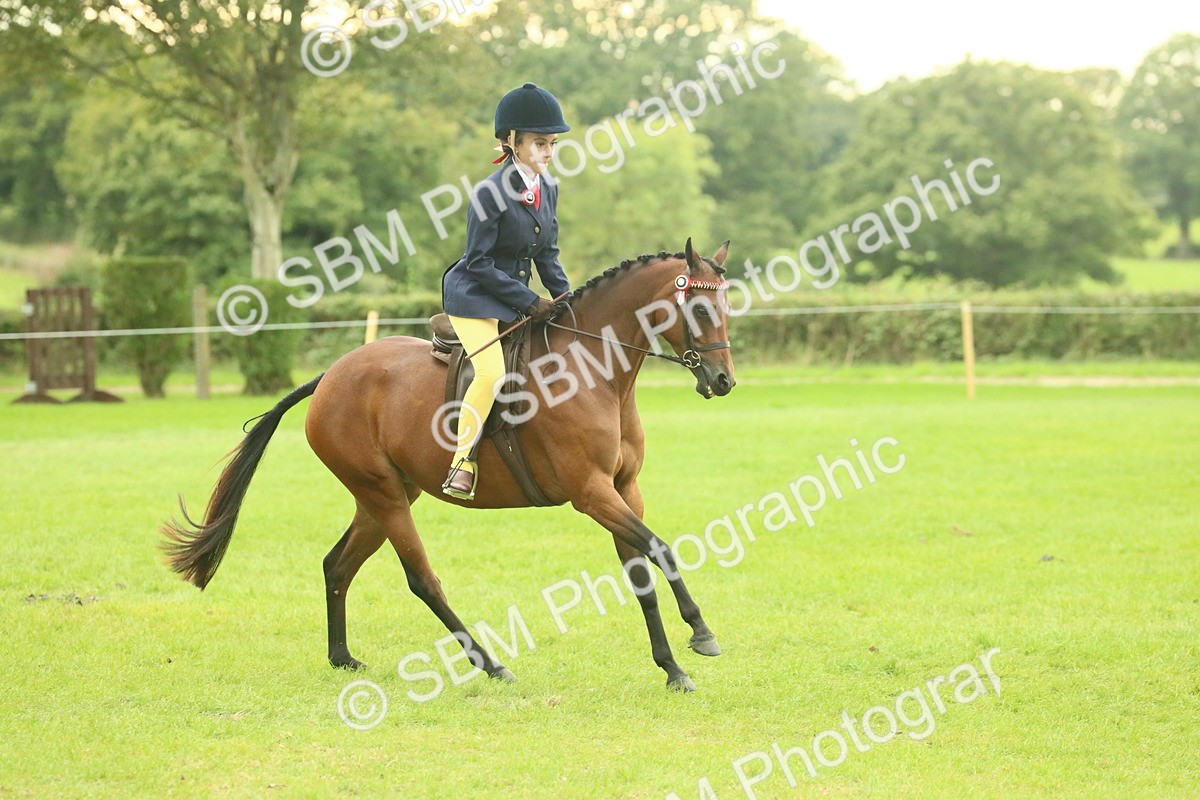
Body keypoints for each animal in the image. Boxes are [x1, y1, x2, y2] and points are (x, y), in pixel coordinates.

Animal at [162, 239, 737, 692]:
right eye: (701, 311)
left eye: (727, 306)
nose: (724, 381)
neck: (595, 371)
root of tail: (331, 375)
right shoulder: (591, 493)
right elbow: (661, 549)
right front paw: (701, 633)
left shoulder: (624, 489)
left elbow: (641, 572)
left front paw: (672, 669)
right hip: (384, 495)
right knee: (422, 579)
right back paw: (490, 664)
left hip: (384, 495)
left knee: (337, 565)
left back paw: (342, 658)